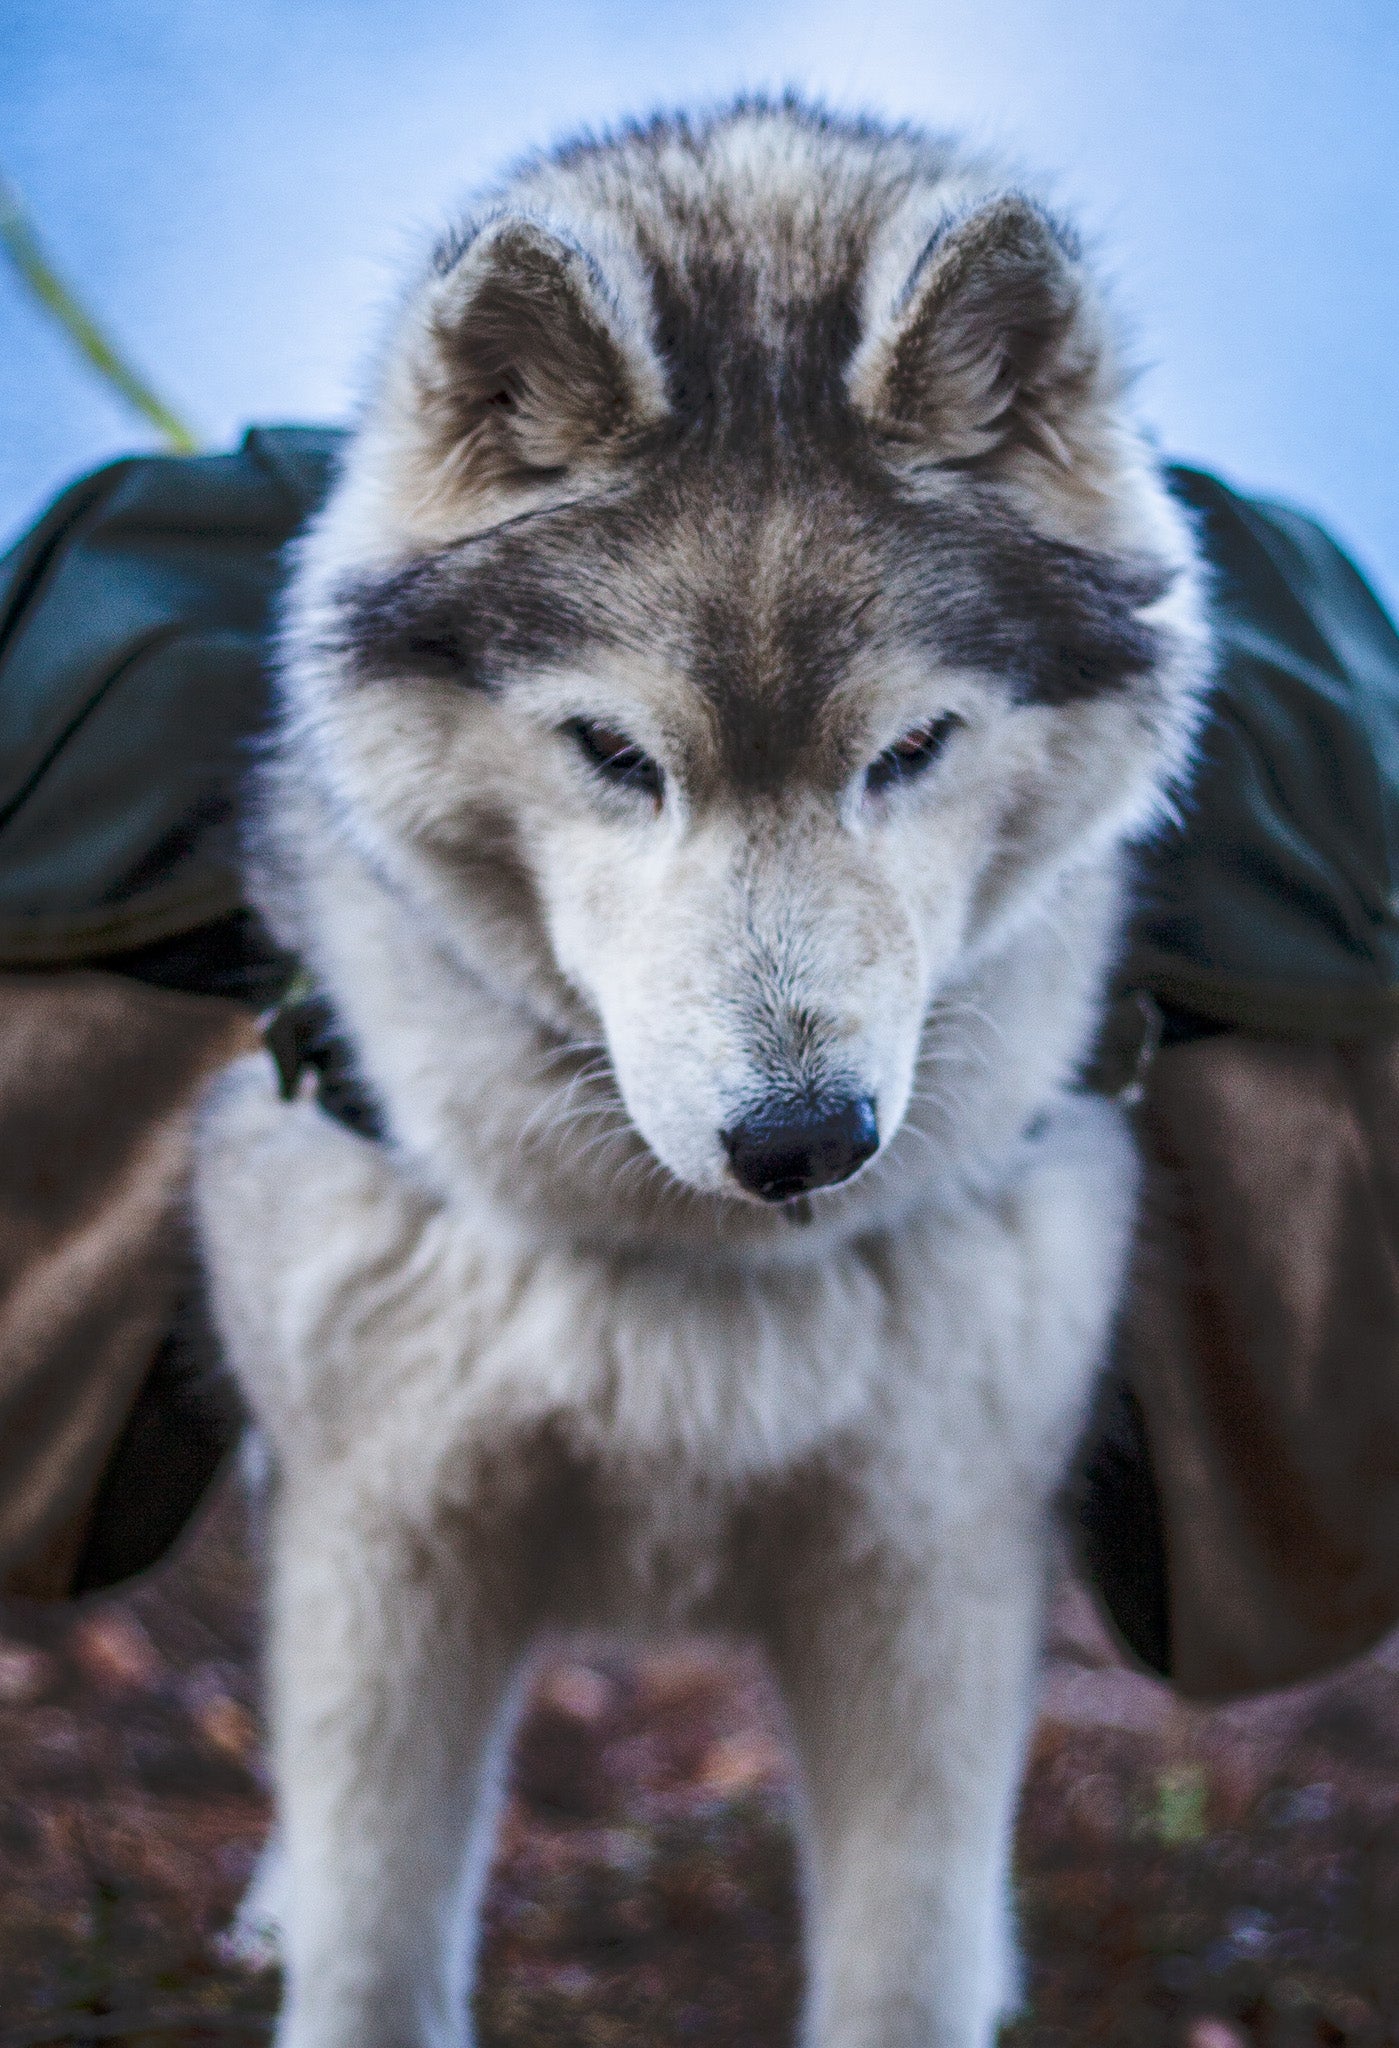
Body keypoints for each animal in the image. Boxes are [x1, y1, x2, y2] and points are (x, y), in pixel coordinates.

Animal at [191, 99, 1212, 2048]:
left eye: (912, 747)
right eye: (610, 752)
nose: (799, 1137)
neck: (692, 1276)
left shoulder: (928, 1577)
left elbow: (904, 1962)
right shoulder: (390, 1551)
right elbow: (371, 1945)